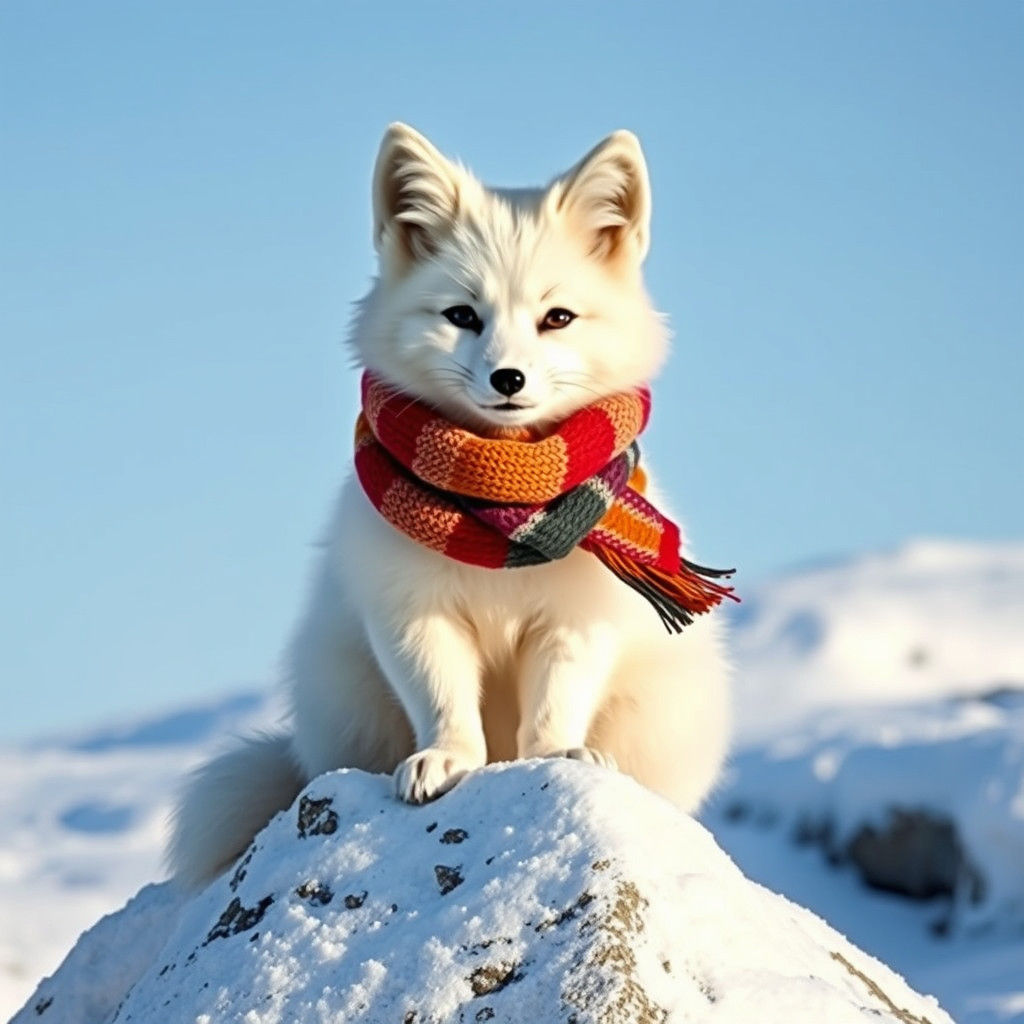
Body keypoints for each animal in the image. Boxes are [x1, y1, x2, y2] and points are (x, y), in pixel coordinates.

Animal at [168, 124, 731, 889]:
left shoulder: (576, 620)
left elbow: (554, 706)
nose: (508, 378)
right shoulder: (412, 612)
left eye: (557, 318)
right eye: (462, 316)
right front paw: (445, 760)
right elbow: (443, 699)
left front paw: (556, 754)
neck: (504, 506)